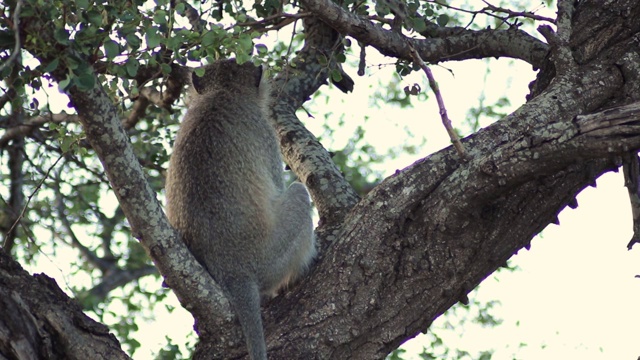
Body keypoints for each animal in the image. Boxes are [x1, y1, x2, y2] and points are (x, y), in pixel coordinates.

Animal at [164, 57, 316, 358]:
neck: (224, 92)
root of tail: (234, 272)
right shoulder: (266, 134)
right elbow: (278, 186)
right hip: (271, 258)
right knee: (298, 193)